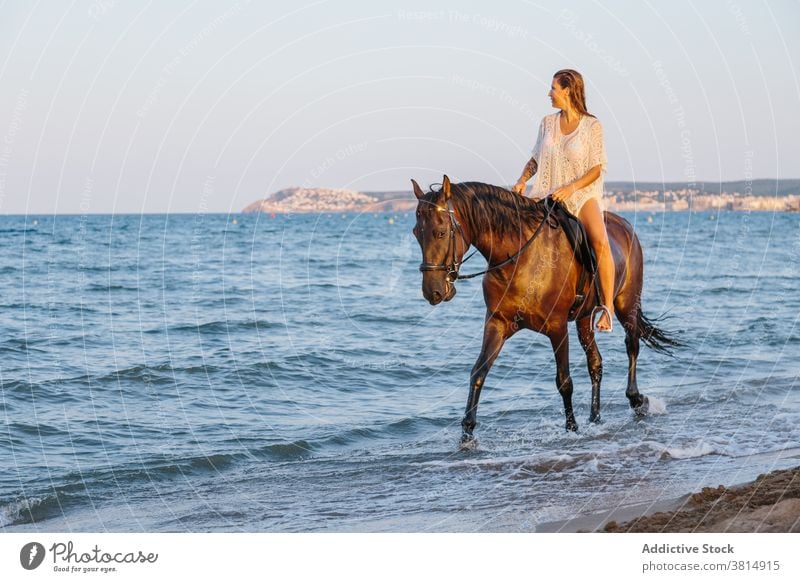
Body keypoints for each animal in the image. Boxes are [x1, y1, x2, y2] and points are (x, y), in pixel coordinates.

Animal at [412, 176, 680, 444]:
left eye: (441, 232)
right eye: (416, 233)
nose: (433, 292)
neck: (519, 259)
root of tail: (625, 226)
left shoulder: (557, 327)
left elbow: (564, 381)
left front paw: (571, 428)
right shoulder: (497, 323)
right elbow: (478, 372)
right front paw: (467, 433)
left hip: (627, 305)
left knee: (631, 346)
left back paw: (637, 400)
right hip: (584, 318)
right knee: (595, 362)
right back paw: (595, 417)